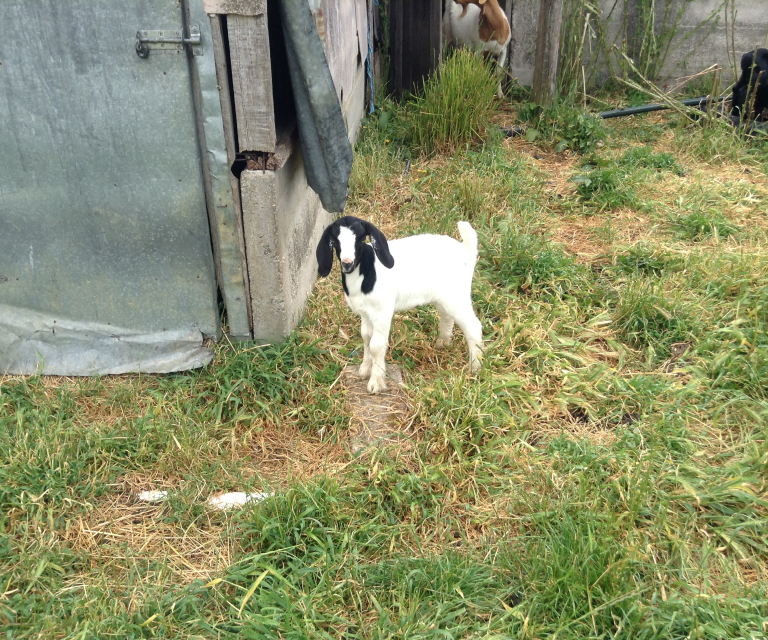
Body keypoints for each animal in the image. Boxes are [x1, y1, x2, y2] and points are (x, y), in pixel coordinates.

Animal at [316, 216, 483, 394]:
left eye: (361, 239)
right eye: (335, 241)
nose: (347, 263)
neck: (366, 272)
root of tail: (466, 249)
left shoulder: (382, 311)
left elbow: (376, 345)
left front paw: (376, 383)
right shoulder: (365, 313)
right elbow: (366, 338)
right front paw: (364, 370)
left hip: (457, 295)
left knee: (473, 326)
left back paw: (476, 367)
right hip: (444, 297)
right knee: (447, 316)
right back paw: (443, 343)